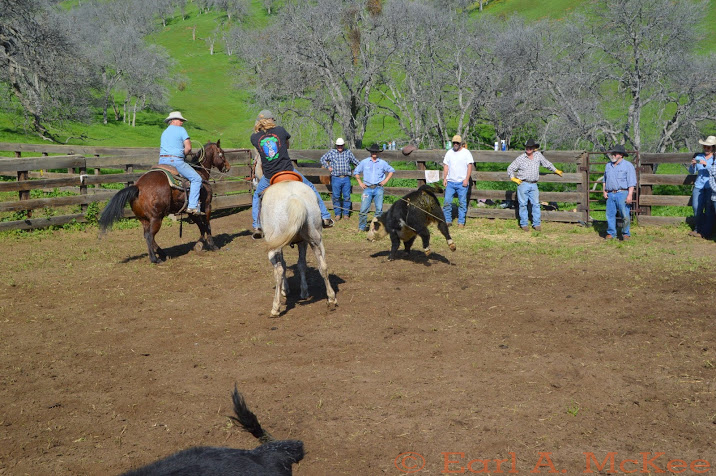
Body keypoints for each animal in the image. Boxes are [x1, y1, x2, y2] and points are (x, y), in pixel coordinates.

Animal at [99, 140, 230, 264]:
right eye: (222, 153)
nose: (228, 167)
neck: (200, 173)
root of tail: (138, 187)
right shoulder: (207, 206)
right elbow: (207, 226)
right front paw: (212, 245)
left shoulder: (192, 212)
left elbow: (201, 226)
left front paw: (199, 244)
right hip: (157, 218)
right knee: (149, 236)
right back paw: (154, 258)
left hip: (144, 219)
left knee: (147, 235)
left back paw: (162, 253)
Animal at [260, 179, 337, 317]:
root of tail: (294, 198)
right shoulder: (303, 242)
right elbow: (301, 264)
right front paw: (304, 291)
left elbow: (284, 266)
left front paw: (285, 289)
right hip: (316, 240)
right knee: (323, 266)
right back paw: (331, 298)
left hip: (274, 247)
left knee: (278, 271)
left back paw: (275, 307)